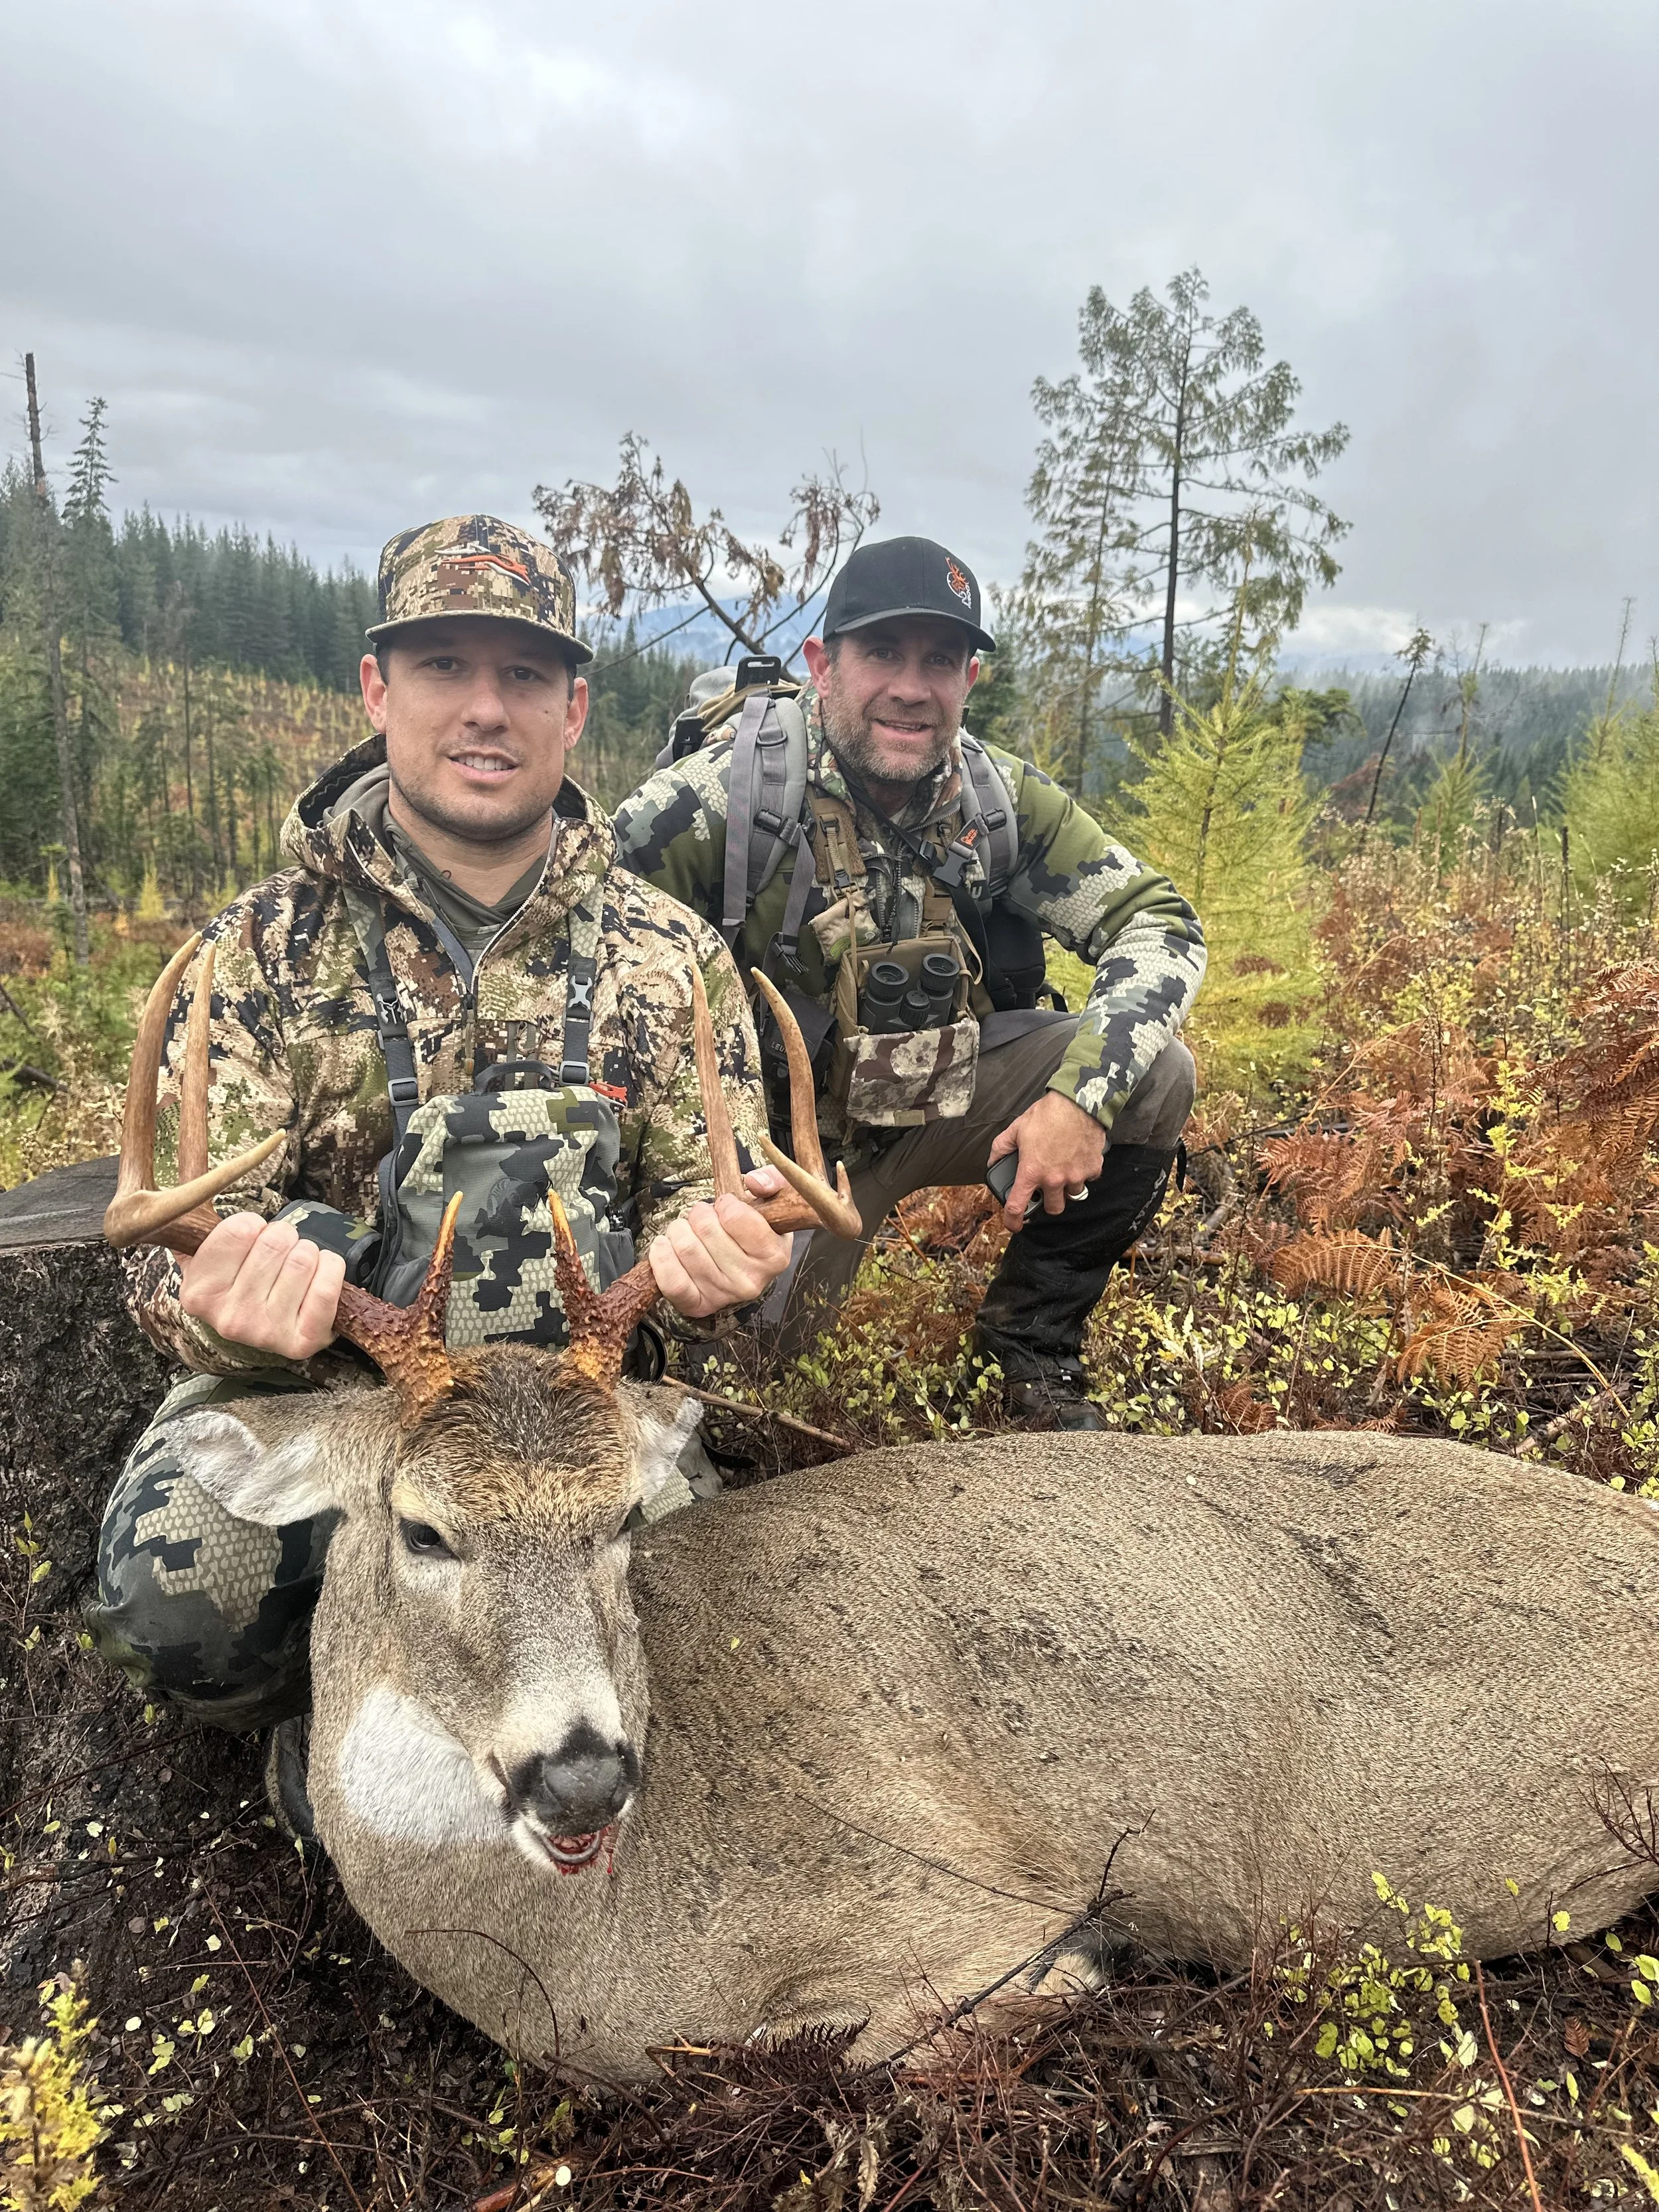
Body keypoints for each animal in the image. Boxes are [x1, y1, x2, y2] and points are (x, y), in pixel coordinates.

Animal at [98, 935, 1659, 2084]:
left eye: (620, 1521)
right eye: (422, 1526)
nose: (584, 1776)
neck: (586, 1949)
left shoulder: (948, 1900)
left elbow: (885, 2036)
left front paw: (1080, 1966)